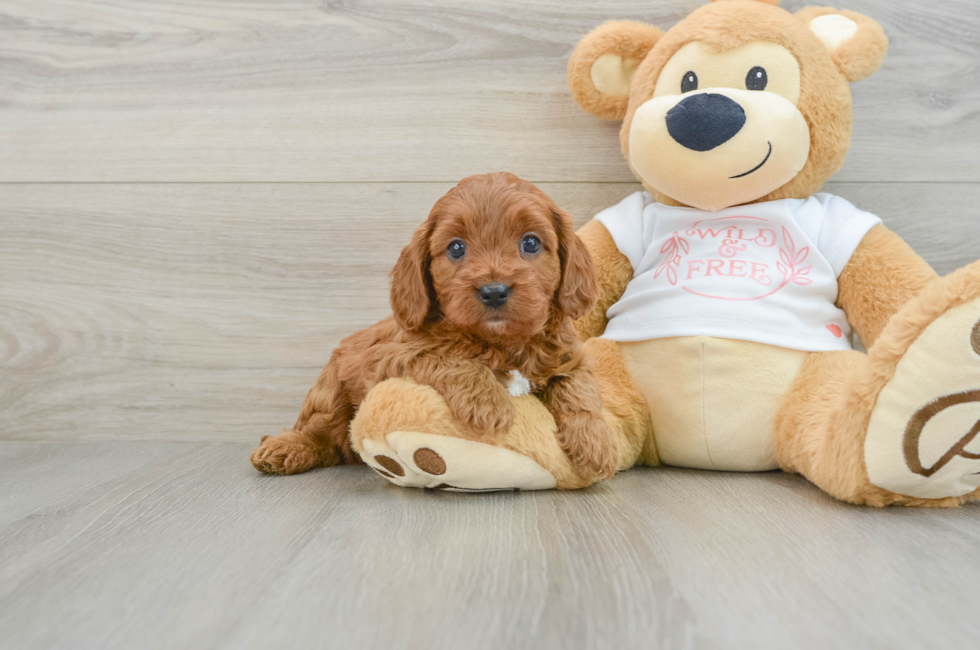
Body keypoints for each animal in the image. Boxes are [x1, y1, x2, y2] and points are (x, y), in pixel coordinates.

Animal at [253, 172, 620, 480]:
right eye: (456, 248)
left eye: (530, 243)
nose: (494, 290)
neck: (501, 341)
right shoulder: (392, 355)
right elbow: (449, 357)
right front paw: (489, 403)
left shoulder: (568, 358)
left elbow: (580, 390)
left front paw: (597, 445)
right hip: (330, 390)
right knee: (321, 430)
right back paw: (285, 448)